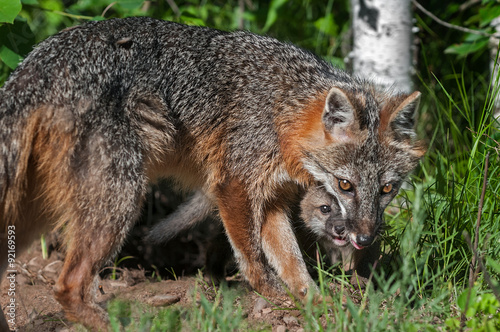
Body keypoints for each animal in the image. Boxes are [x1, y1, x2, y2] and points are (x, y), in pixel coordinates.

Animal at [0, 16, 426, 330]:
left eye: (387, 189)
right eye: (345, 184)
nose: (364, 238)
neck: (282, 105)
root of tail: (36, 62)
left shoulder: (272, 199)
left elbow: (292, 263)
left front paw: (315, 302)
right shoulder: (234, 185)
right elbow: (254, 260)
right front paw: (275, 297)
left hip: (31, 213)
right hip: (119, 200)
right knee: (68, 286)